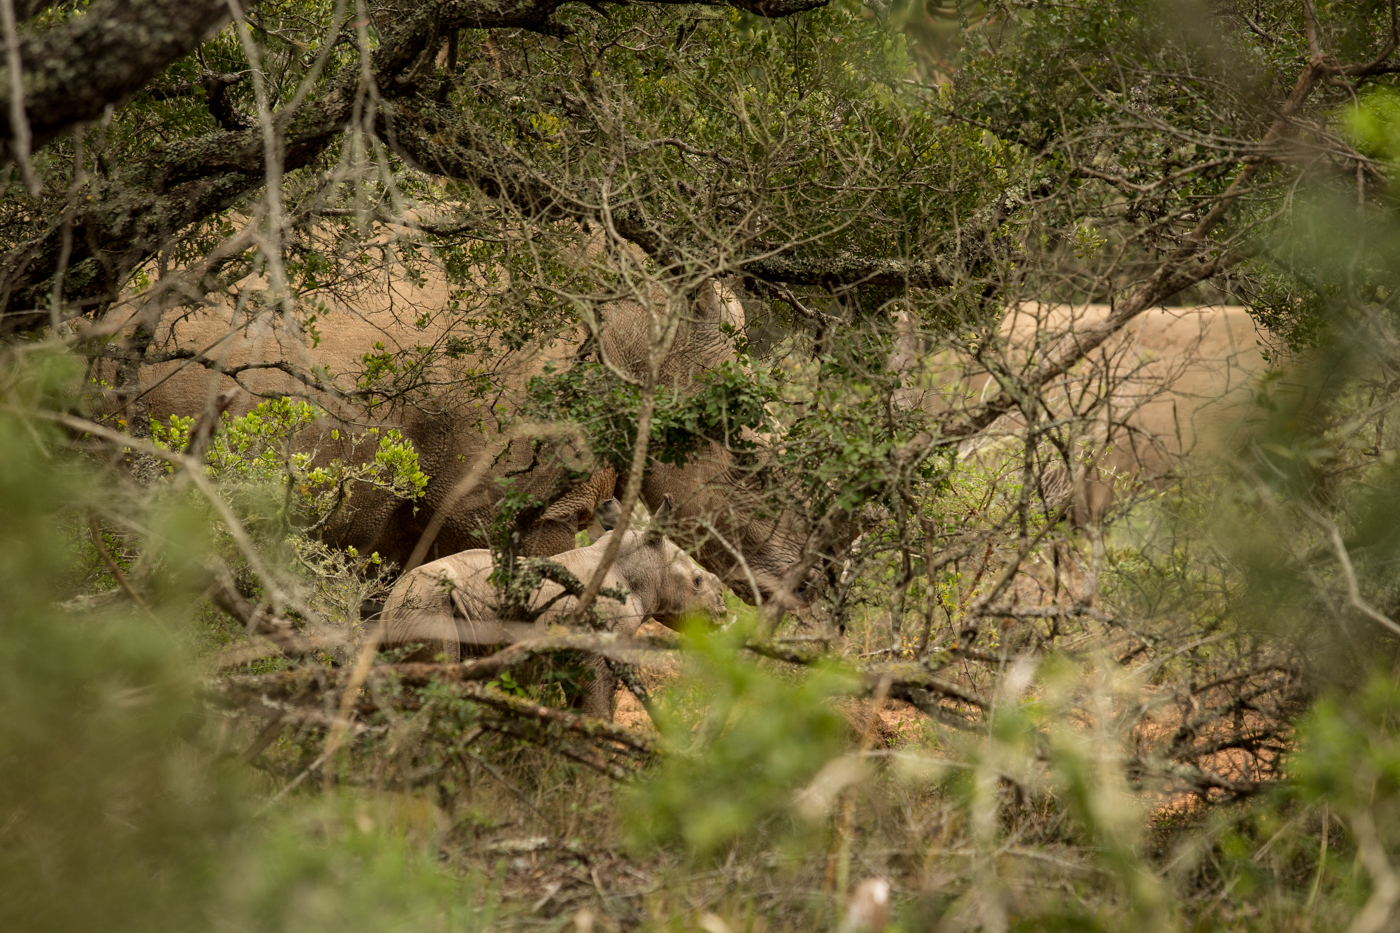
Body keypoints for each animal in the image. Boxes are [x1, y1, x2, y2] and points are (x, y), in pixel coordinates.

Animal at [383, 498, 733, 714]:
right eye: (697, 582)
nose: (723, 612)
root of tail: (390, 602)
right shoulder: (597, 649)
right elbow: (597, 710)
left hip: (415, 608)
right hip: (428, 606)